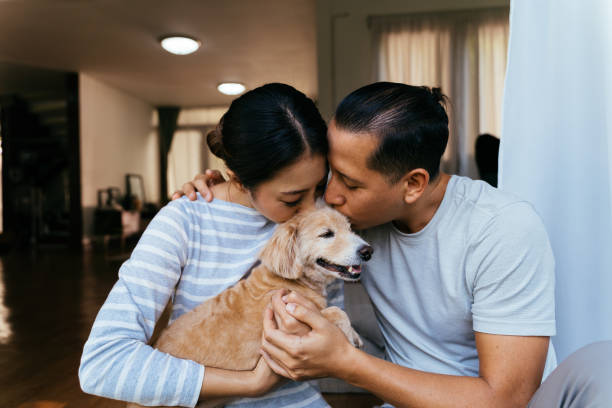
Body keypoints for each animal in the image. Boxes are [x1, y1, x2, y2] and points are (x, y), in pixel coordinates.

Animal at [126, 206, 370, 406]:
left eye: (350, 229)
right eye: (326, 234)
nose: (368, 251)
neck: (291, 281)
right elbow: (335, 311)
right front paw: (351, 335)